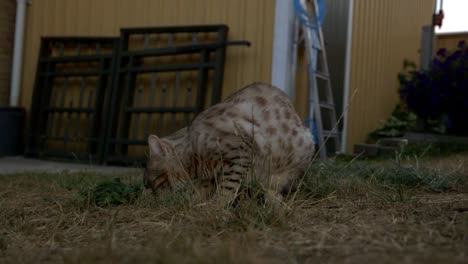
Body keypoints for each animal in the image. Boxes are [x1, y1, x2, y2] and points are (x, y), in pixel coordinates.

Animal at [144, 82, 316, 206]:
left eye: (154, 183)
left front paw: (216, 208)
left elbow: (226, 188)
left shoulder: (238, 153)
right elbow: (204, 190)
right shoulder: (210, 177)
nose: (156, 200)